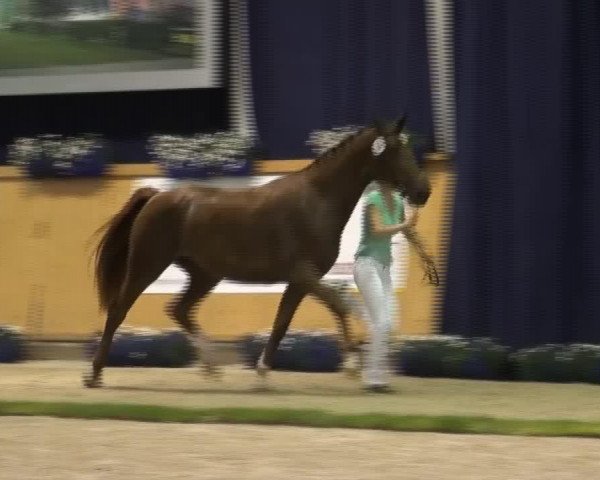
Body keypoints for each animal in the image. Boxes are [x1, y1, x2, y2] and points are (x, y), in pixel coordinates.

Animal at [84, 117, 432, 390]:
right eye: (396, 150)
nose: (424, 192)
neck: (317, 200)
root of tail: (156, 196)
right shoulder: (304, 273)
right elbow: (338, 306)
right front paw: (352, 364)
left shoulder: (300, 281)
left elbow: (284, 323)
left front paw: (263, 371)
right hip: (147, 265)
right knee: (119, 310)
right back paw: (95, 374)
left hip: (204, 274)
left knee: (179, 309)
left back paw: (211, 368)